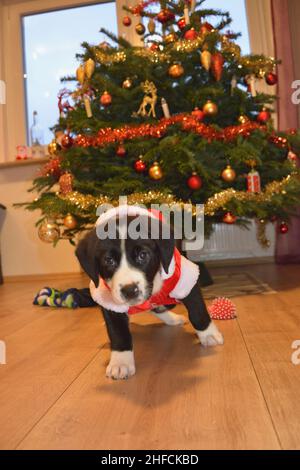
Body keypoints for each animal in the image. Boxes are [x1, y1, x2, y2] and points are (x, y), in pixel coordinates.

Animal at [76, 205, 224, 378]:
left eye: (143, 255)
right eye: (108, 260)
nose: (129, 290)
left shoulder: (185, 280)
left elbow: (197, 311)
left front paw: (208, 335)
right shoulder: (109, 302)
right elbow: (118, 331)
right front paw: (121, 362)